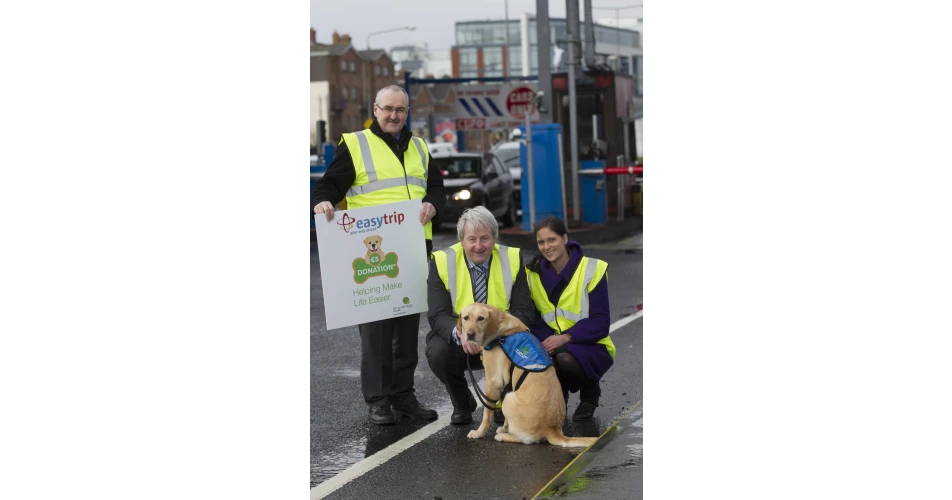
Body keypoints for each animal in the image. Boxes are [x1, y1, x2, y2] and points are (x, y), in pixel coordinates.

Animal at [460, 302, 596, 448]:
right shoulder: (507, 385)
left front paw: (479, 433)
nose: (469, 334)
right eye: (466, 318)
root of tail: (552, 429)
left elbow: (487, 413)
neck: (501, 332)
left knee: (527, 440)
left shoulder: (493, 382)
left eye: (481, 318)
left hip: (508, 400)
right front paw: (505, 427)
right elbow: (505, 419)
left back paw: (504, 436)